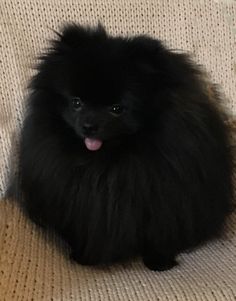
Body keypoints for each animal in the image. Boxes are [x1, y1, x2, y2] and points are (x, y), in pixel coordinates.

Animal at [19, 24, 233, 270]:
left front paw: (159, 261)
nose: (88, 126)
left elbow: (162, 231)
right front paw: (85, 256)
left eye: (117, 109)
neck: (109, 162)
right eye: (76, 102)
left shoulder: (165, 197)